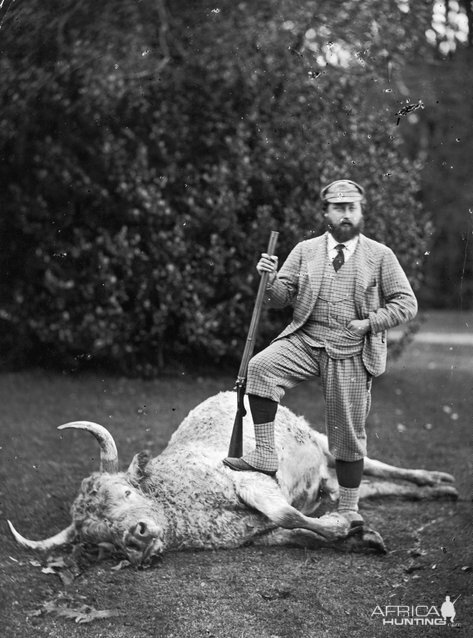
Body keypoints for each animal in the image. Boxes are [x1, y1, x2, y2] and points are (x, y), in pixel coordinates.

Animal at [8, 392, 458, 568]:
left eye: (126, 490)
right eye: (98, 538)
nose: (136, 537)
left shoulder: (251, 481)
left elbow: (288, 514)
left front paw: (346, 525)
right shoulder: (257, 536)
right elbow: (297, 531)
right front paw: (359, 535)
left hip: (319, 439)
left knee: (373, 466)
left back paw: (437, 479)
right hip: (326, 474)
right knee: (365, 486)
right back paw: (433, 491)